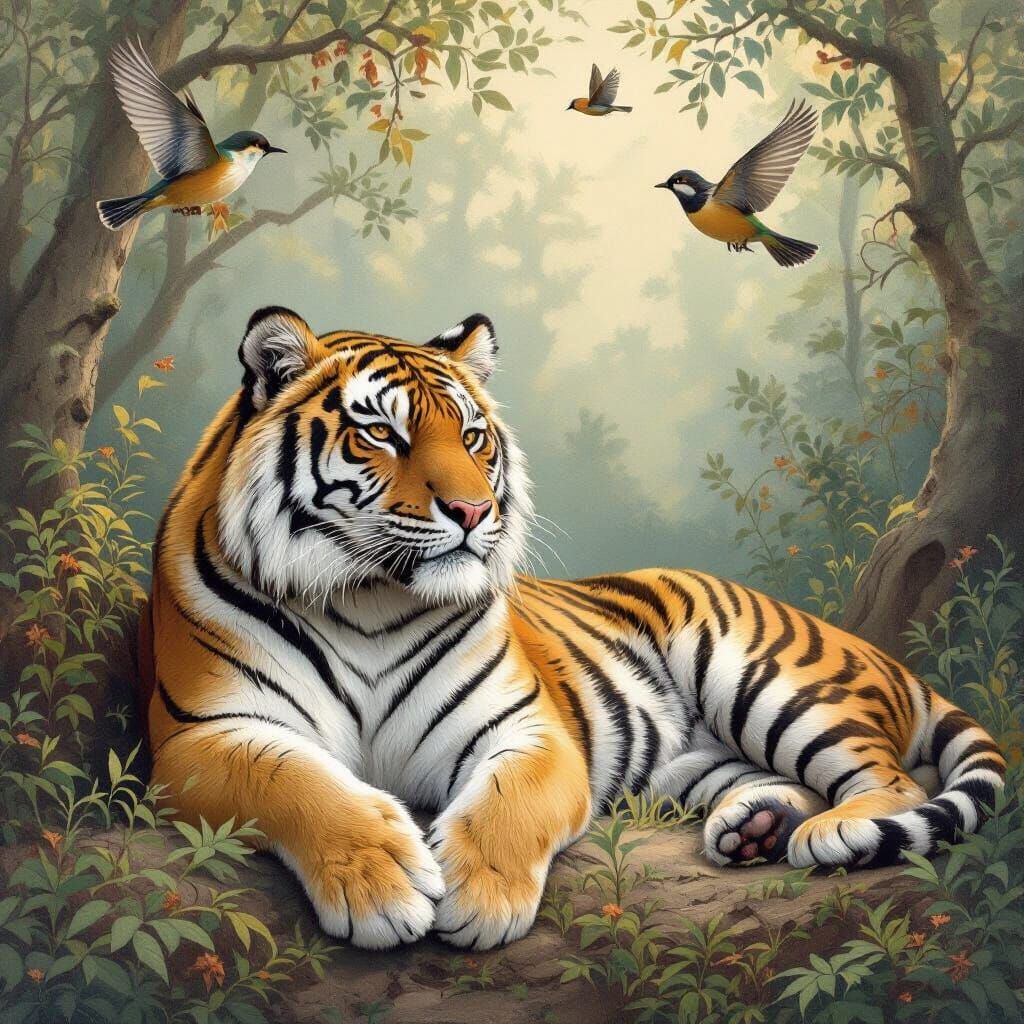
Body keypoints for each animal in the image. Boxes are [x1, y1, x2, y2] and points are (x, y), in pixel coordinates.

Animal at [139, 305, 1006, 952]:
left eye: (473, 436)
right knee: (789, 780)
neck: (369, 601)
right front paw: (381, 884)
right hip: (687, 762)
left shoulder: (531, 729)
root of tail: (874, 653)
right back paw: (754, 828)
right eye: (382, 433)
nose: (473, 511)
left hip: (768, 680)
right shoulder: (204, 735)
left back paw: (832, 833)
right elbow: (299, 783)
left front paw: (478, 898)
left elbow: (509, 802)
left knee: (892, 780)